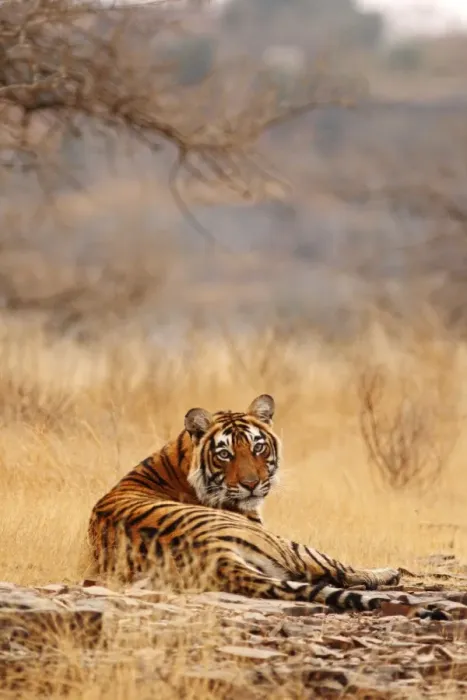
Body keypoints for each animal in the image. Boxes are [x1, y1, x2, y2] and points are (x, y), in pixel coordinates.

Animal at [88, 394, 401, 611]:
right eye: (224, 454)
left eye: (258, 447)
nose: (251, 484)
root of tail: (213, 556)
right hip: (284, 544)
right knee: (334, 567)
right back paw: (388, 573)